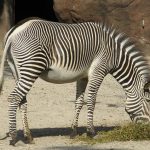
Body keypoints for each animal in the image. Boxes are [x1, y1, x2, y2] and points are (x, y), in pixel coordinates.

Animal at [0, 17, 150, 145]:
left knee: (22, 101)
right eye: (148, 100)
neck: (115, 54)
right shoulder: (98, 71)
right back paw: (14, 137)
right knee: (14, 97)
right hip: (31, 67)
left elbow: (79, 102)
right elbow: (91, 100)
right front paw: (91, 132)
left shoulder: (83, 76)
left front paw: (74, 131)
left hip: (17, 71)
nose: (146, 129)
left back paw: (28, 136)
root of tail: (14, 31)